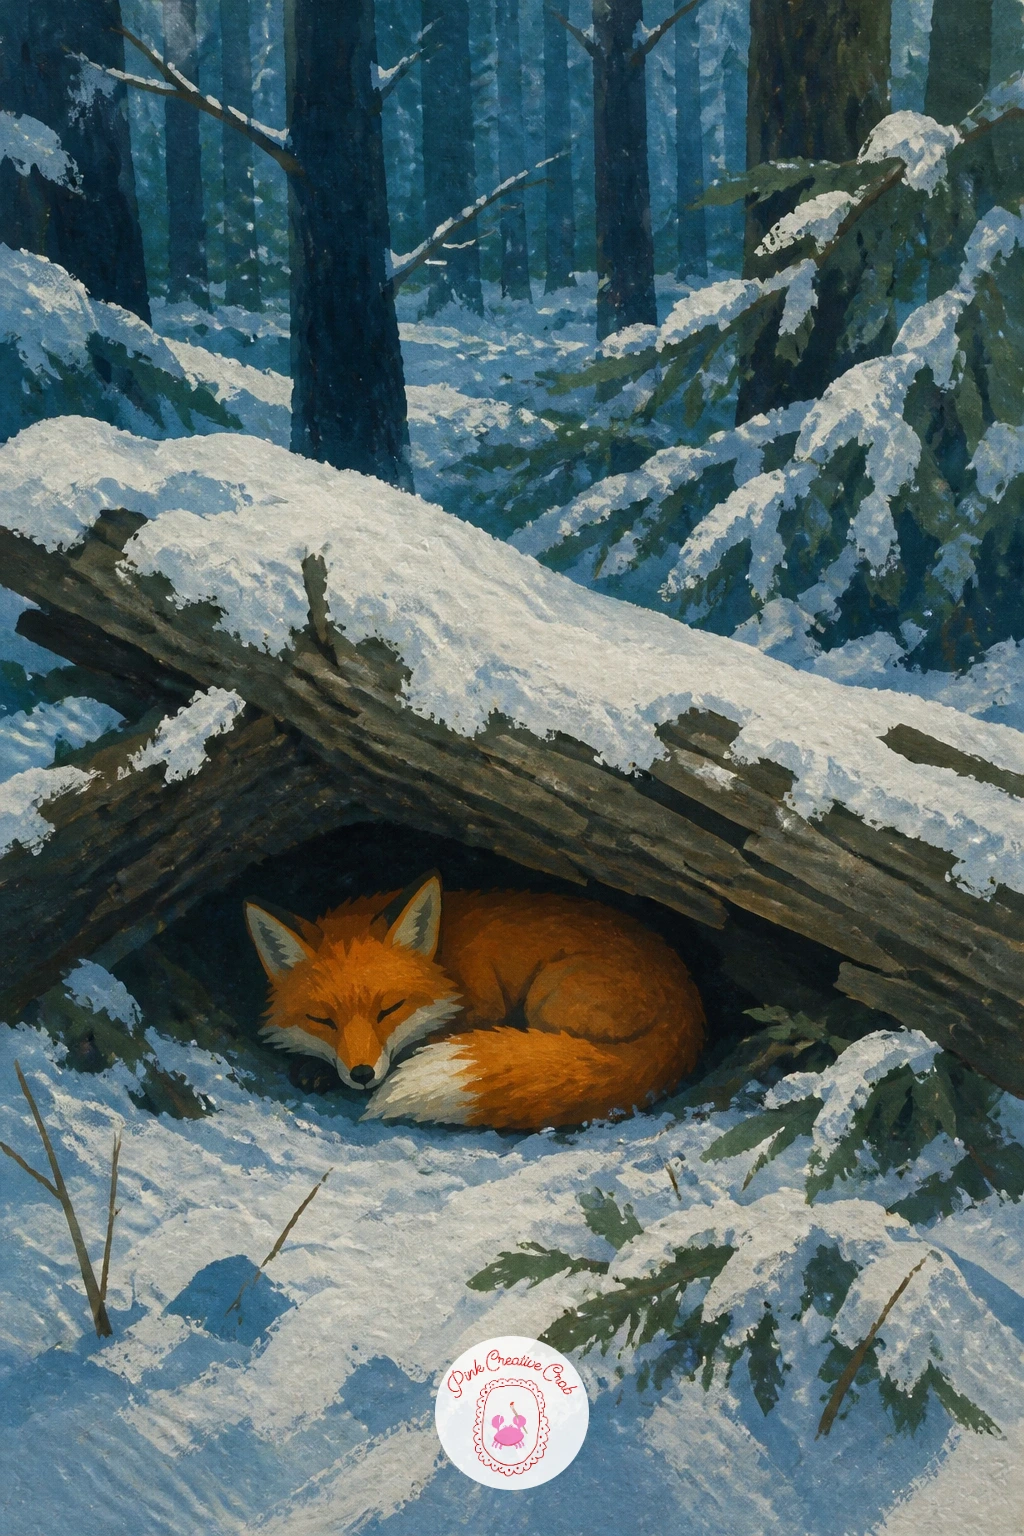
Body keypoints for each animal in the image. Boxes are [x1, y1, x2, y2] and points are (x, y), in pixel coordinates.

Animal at [244, 871, 705, 1132]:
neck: (443, 957)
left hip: (546, 997)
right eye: (322, 1020)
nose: (360, 1074)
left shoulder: (487, 1005)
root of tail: (689, 1014)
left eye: (389, 1010)